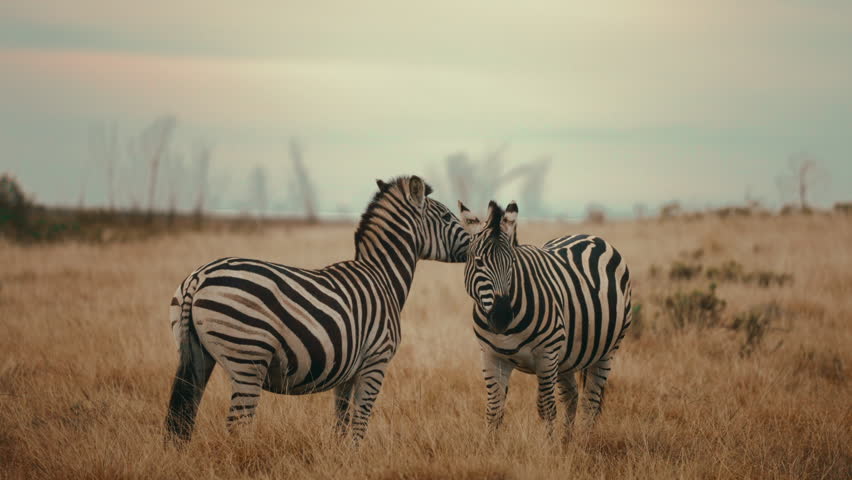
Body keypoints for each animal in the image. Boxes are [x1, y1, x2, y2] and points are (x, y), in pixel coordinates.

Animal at [165, 175, 472, 442]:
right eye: (448, 217)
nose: (474, 246)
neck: (382, 277)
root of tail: (198, 277)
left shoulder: (348, 372)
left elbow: (341, 422)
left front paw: (342, 458)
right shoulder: (376, 362)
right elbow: (360, 422)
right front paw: (357, 458)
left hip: (197, 354)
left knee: (183, 417)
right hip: (248, 357)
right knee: (237, 424)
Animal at [460, 199, 632, 436]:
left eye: (512, 262)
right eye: (478, 263)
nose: (502, 317)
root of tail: (590, 236)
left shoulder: (547, 355)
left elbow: (546, 408)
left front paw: (547, 446)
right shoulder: (491, 356)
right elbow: (494, 411)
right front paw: (490, 444)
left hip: (608, 350)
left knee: (590, 400)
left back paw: (584, 442)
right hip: (567, 356)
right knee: (571, 395)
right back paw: (567, 442)